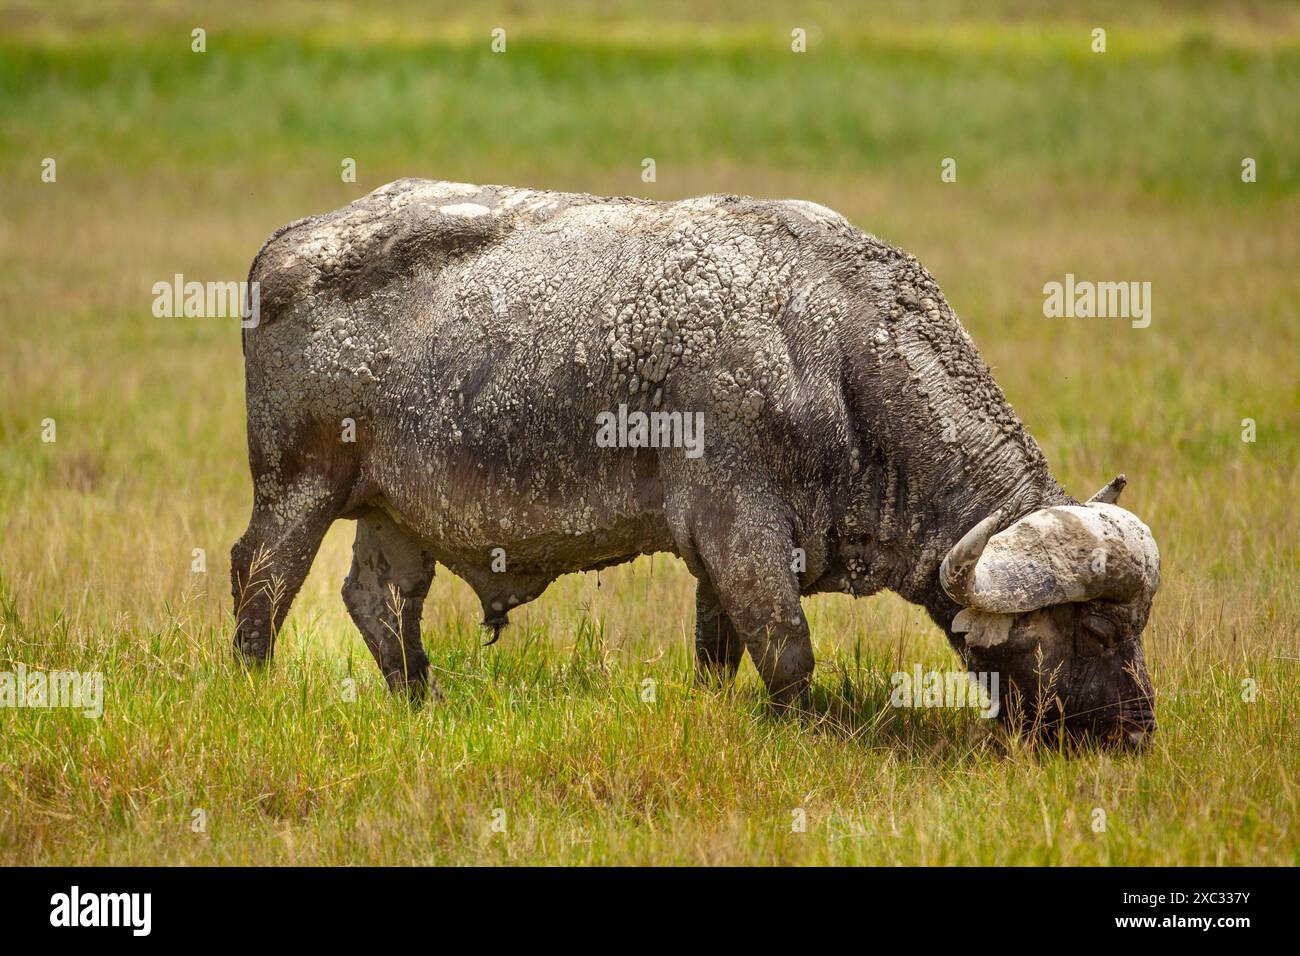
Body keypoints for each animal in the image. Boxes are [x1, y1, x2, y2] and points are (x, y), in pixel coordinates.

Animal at [231, 179, 1159, 749]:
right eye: (1099, 630)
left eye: (1137, 628)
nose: (1139, 729)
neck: (834, 355)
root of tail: (285, 245)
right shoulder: (744, 535)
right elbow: (788, 654)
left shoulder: (721, 558)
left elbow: (720, 655)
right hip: (298, 487)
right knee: (261, 580)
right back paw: (252, 686)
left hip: (396, 512)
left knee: (377, 599)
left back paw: (420, 696)